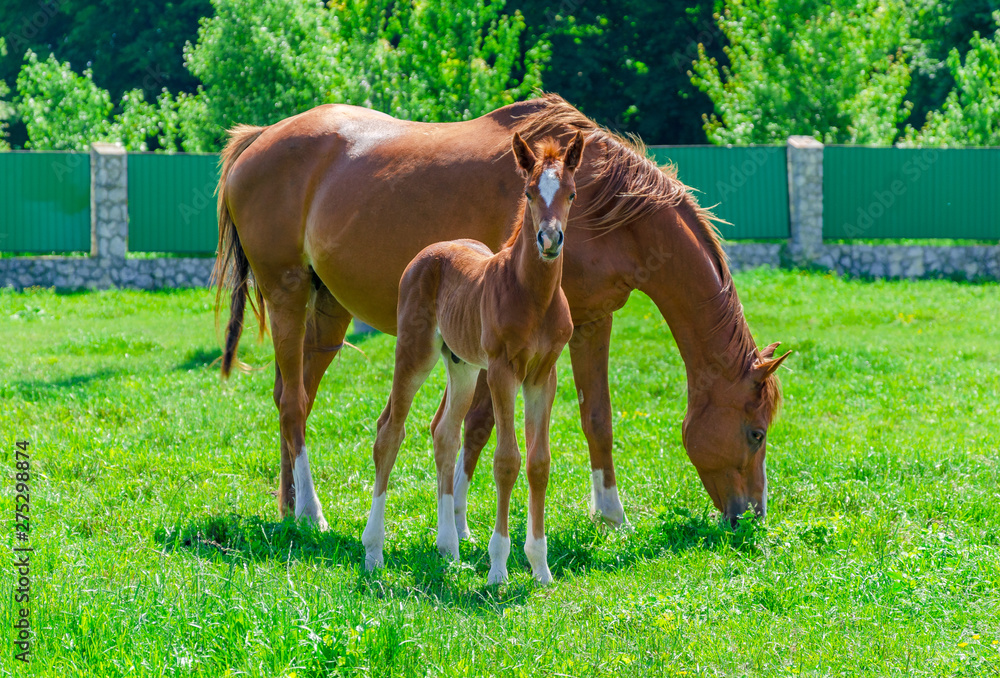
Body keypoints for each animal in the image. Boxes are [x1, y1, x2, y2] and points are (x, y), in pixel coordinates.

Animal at [213, 93, 790, 535]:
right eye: (756, 433)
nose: (751, 516)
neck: (604, 208)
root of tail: (258, 138)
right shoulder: (504, 342)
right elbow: (479, 424)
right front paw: (464, 526)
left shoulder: (590, 323)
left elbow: (596, 418)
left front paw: (612, 518)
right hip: (286, 293)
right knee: (293, 403)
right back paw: (312, 512)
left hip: (328, 309)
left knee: (295, 396)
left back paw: (289, 507)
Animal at [360, 132, 584, 584]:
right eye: (529, 192)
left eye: (571, 193)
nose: (549, 241)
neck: (533, 296)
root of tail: (430, 250)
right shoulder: (501, 371)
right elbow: (506, 460)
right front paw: (498, 568)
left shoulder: (543, 376)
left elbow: (538, 463)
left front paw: (541, 568)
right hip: (416, 352)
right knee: (390, 431)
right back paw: (374, 551)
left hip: (461, 367)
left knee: (443, 432)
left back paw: (449, 547)